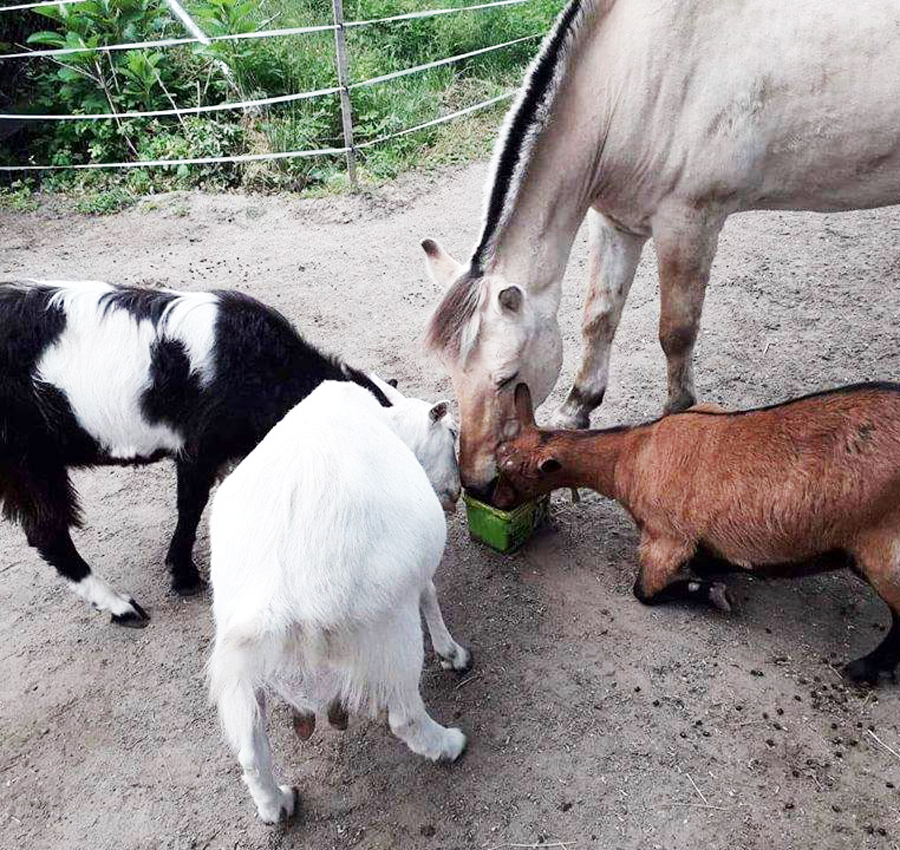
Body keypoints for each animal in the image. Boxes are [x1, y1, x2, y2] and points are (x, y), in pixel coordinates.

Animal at [0, 278, 390, 624]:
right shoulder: (200, 447)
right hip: (29, 461)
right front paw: (184, 576)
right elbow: (191, 505)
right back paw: (124, 608)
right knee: (49, 534)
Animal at [207, 378, 468, 820]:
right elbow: (429, 593)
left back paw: (278, 805)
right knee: (404, 717)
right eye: (452, 433)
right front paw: (452, 653)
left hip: (240, 663)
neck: (389, 423)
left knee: (250, 750)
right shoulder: (414, 578)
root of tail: (278, 599)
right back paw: (449, 745)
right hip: (391, 632)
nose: (457, 492)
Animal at [496, 382, 900, 684]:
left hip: (882, 546)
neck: (631, 454)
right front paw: (722, 570)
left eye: (511, 471)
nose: (487, 494)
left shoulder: (667, 536)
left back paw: (863, 669)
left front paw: (713, 593)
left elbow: (645, 592)